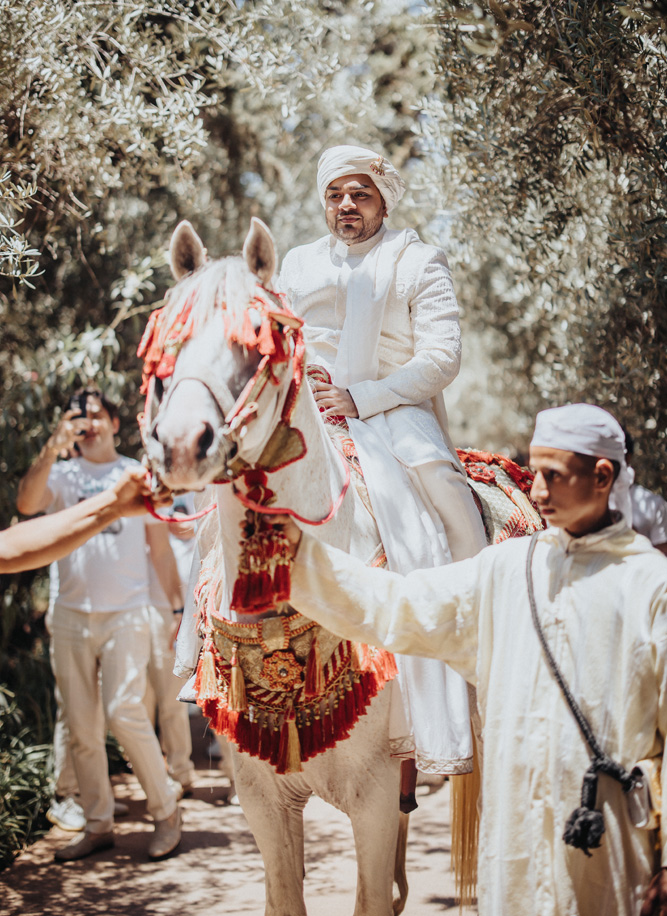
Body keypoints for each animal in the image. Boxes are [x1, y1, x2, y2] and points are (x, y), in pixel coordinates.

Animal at [142, 218, 408, 916]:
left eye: (255, 342)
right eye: (166, 344)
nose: (181, 444)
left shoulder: (372, 797)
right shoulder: (263, 799)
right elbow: (288, 896)